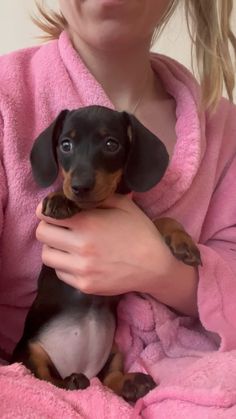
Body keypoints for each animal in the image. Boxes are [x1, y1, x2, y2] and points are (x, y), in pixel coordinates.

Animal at [12, 105, 201, 404]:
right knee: (45, 379)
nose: (80, 187)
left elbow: (164, 220)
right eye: (65, 145)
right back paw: (72, 381)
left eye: (111, 144)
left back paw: (128, 383)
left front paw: (183, 241)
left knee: (108, 378)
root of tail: (84, 368)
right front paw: (60, 199)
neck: (99, 208)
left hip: (115, 349)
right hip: (31, 350)